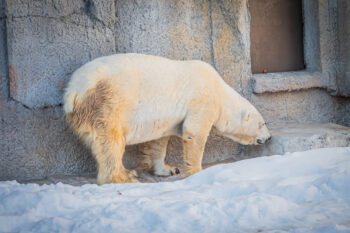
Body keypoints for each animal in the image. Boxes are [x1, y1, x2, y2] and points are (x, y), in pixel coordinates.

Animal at [63, 53, 270, 185]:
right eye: (263, 123)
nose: (268, 137)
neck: (220, 91)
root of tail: (73, 92)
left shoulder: (166, 118)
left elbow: (159, 140)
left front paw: (169, 169)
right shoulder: (202, 99)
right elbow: (194, 133)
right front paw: (197, 172)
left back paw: (127, 171)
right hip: (108, 102)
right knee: (111, 141)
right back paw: (122, 177)